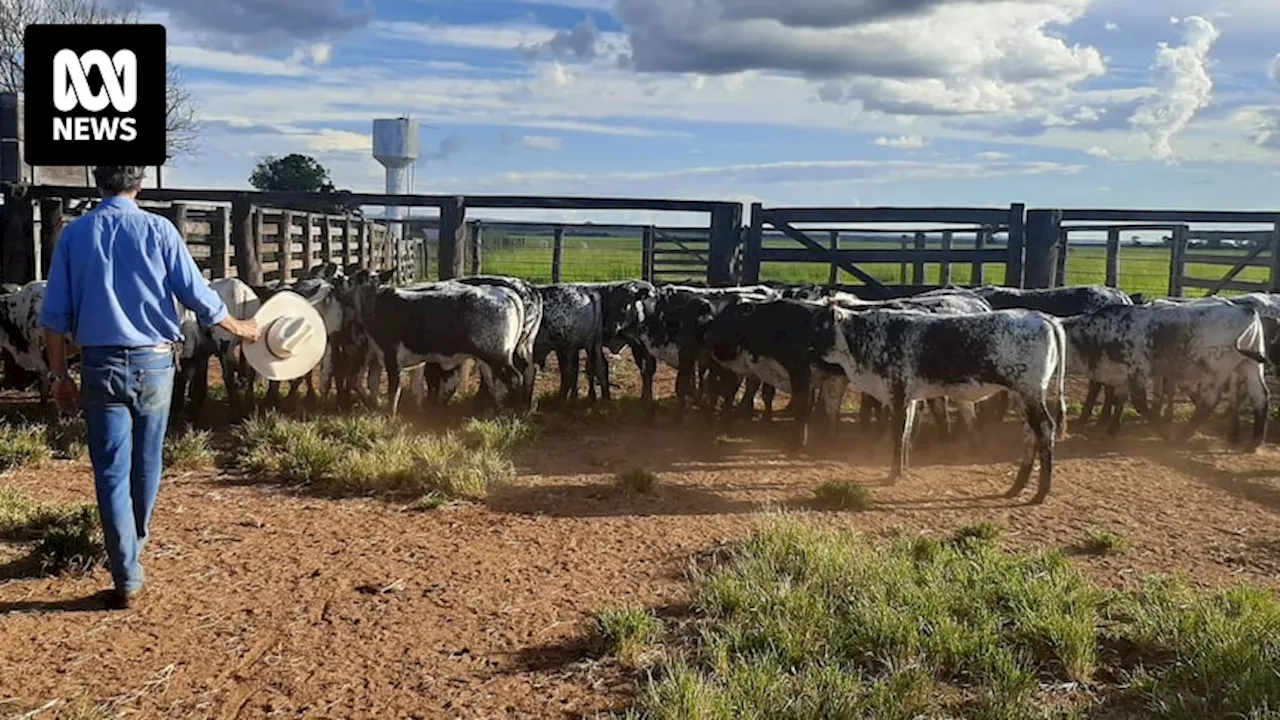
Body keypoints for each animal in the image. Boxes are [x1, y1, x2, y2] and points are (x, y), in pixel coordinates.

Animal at [819, 304, 1070, 502]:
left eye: (817, 324)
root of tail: (1040, 316)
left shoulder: (898, 395)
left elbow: (898, 436)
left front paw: (892, 476)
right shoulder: (910, 398)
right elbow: (907, 433)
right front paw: (902, 470)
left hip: (1029, 392)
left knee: (1045, 428)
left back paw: (1040, 493)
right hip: (1023, 396)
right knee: (1031, 432)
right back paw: (1016, 488)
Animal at [1059, 295, 1269, 443]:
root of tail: (1245, 310)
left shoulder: (1137, 371)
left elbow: (1139, 403)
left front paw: (1163, 432)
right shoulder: (1120, 374)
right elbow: (1120, 401)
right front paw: (1111, 430)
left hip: (1217, 370)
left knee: (1210, 400)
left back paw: (1182, 436)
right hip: (1250, 365)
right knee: (1259, 395)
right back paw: (1255, 441)